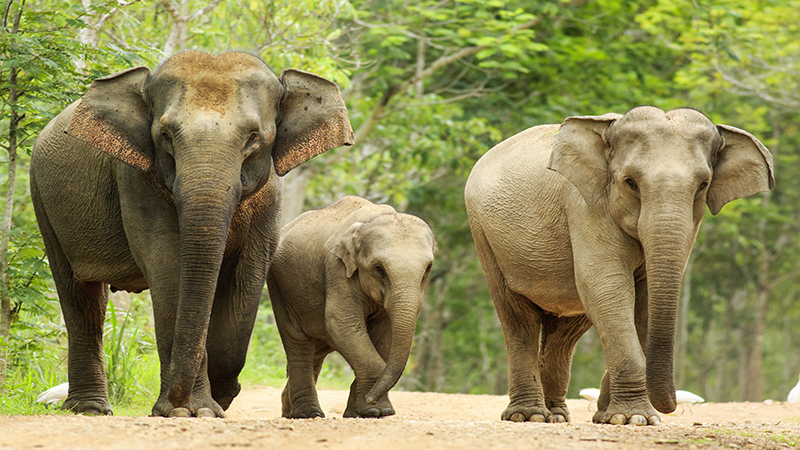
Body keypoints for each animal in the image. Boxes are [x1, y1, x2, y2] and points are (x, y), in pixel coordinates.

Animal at [29, 51, 354, 416]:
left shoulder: (270, 194)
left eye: (254, 136)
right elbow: (168, 265)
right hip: (42, 198)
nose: (172, 401)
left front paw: (219, 398)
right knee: (80, 298)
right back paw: (90, 409)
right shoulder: (136, 179)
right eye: (166, 135)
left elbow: (248, 275)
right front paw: (191, 410)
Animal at [268, 196, 434, 418]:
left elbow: (384, 335)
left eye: (428, 269)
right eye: (379, 268)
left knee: (316, 350)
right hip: (279, 285)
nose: (371, 398)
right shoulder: (337, 269)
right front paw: (377, 410)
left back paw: (290, 411)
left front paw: (364, 412)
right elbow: (341, 324)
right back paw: (308, 414)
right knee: (297, 341)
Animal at [466, 105, 772, 426]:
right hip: (484, 236)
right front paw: (633, 418)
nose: (673, 404)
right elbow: (606, 285)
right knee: (518, 318)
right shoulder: (585, 205)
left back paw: (557, 416)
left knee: (565, 332)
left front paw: (610, 416)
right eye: (630, 182)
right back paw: (530, 416)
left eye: (703, 185)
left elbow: (644, 298)